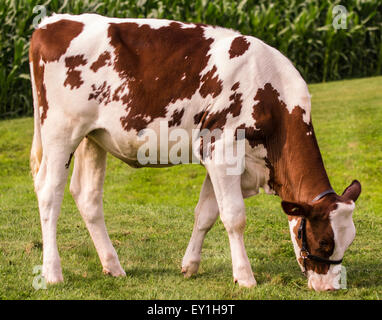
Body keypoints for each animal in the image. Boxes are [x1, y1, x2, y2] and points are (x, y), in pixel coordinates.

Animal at [29, 13, 362, 292]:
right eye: (324, 241)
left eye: (348, 242)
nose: (331, 287)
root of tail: (52, 22)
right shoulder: (222, 151)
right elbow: (234, 216)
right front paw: (245, 277)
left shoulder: (226, 162)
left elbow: (206, 214)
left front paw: (190, 266)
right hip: (60, 132)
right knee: (49, 192)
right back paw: (53, 273)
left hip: (93, 137)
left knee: (87, 197)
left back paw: (113, 266)